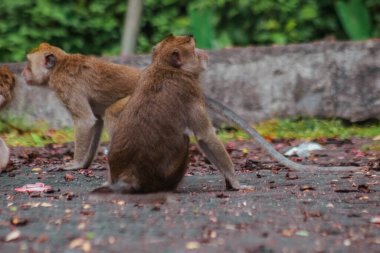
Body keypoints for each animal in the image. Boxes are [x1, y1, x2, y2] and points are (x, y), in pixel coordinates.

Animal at [104, 34, 246, 193]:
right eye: (193, 47)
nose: (202, 51)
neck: (165, 66)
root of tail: (128, 177)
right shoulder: (191, 90)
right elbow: (205, 136)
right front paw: (235, 182)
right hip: (163, 178)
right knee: (186, 139)